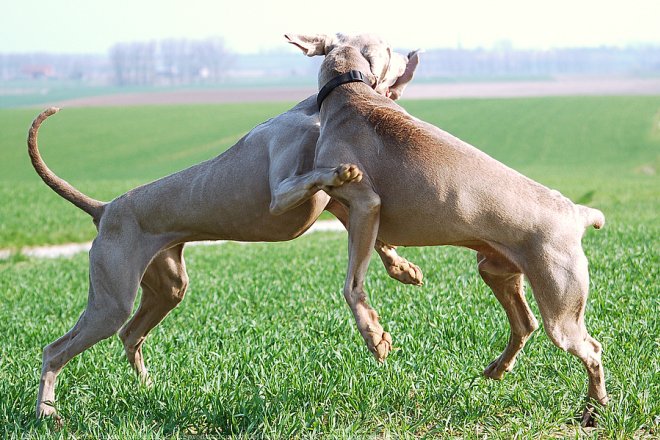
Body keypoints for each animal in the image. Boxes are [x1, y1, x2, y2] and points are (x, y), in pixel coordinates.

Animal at [28, 33, 420, 420]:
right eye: (387, 50)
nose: (414, 55)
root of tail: (105, 209)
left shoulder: (333, 202)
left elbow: (368, 230)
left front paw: (402, 268)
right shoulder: (282, 194)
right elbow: (318, 178)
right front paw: (342, 172)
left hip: (168, 285)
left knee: (130, 334)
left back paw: (149, 389)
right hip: (111, 301)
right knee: (56, 349)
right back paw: (47, 411)